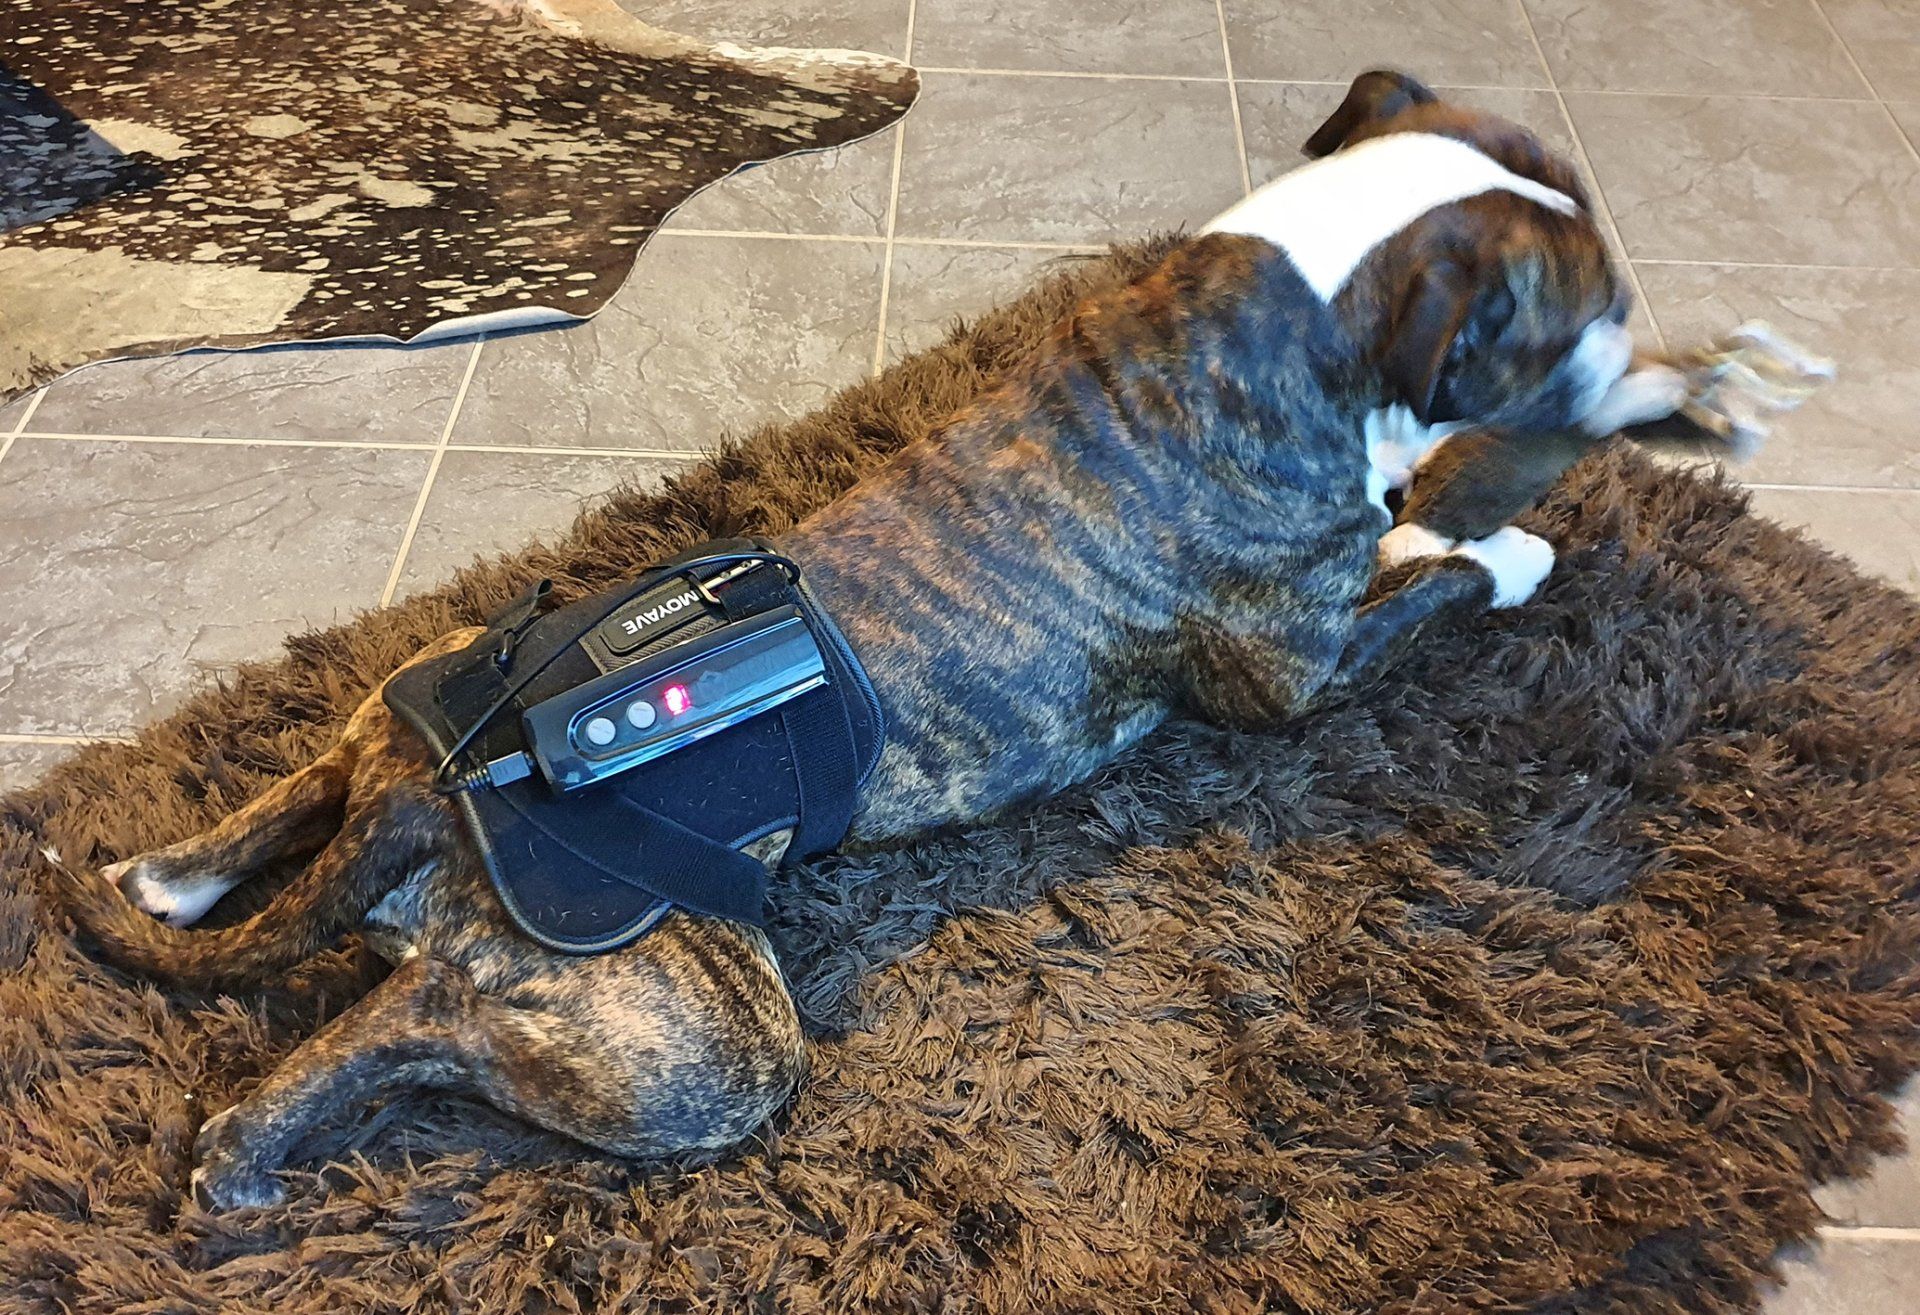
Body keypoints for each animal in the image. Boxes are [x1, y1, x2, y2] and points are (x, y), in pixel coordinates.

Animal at [55, 70, 1710, 1211]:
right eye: (1575, 312)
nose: (1657, 364)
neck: (1282, 309)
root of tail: (443, 787)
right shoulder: (1300, 675)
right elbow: (1435, 577)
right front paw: (1510, 544)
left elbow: (1409, 535)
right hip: (698, 1031)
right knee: (389, 1029)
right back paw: (244, 1159)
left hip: (409, 700)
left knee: (289, 812)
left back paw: (161, 870)